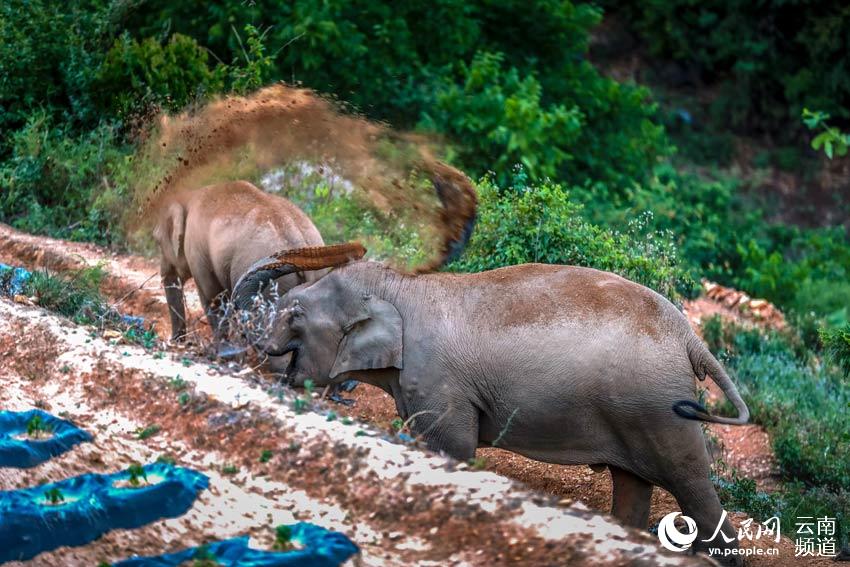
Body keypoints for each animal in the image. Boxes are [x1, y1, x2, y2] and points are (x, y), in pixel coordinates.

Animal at [231, 244, 750, 565]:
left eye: (295, 312)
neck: (405, 287)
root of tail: (691, 339)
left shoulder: (440, 384)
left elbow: (454, 451)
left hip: (660, 411)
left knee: (693, 488)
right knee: (633, 487)